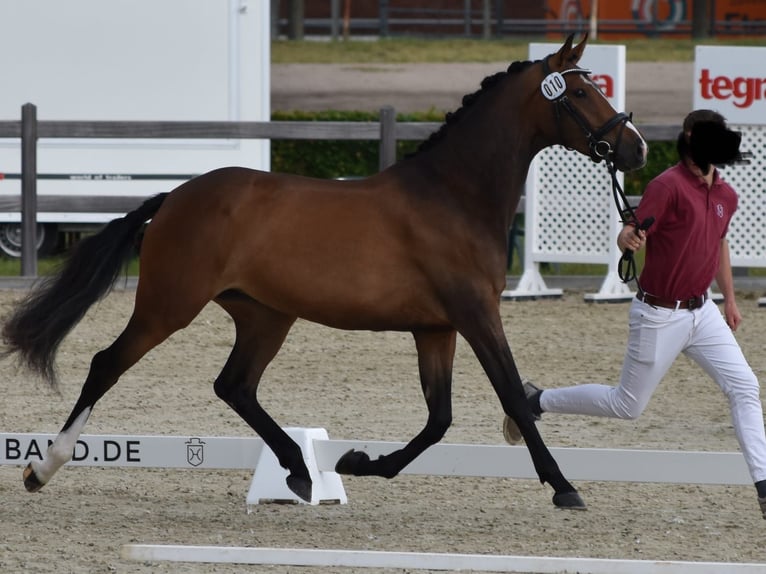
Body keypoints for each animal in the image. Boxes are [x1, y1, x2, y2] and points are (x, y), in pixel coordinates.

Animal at [2, 34, 646, 510]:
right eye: (582, 91)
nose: (636, 149)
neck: (453, 196)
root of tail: (176, 197)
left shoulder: (436, 328)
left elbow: (439, 418)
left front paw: (359, 463)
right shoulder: (476, 314)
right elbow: (511, 394)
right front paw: (563, 487)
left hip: (266, 316)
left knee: (234, 385)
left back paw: (300, 470)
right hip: (168, 306)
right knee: (106, 365)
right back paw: (43, 468)